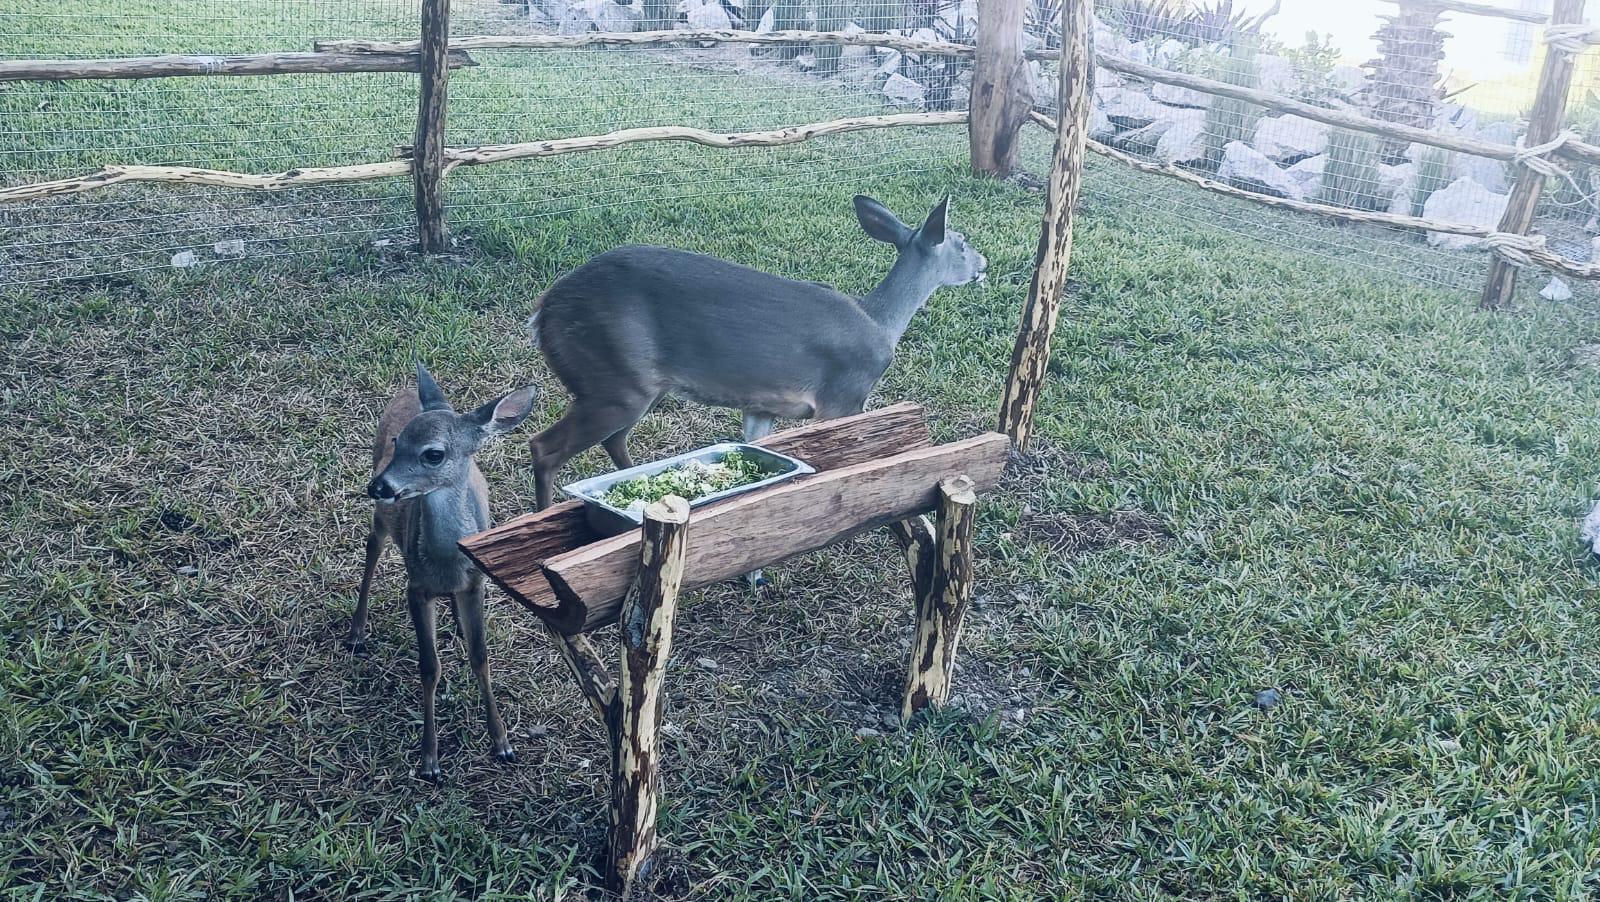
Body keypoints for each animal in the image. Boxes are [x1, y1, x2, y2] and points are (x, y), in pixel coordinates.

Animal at [524, 196, 979, 514]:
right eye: (961, 242)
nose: (984, 264)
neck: (881, 321)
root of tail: (543, 313)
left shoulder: (763, 405)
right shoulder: (843, 396)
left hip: (633, 385)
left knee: (613, 439)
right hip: (613, 378)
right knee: (545, 446)